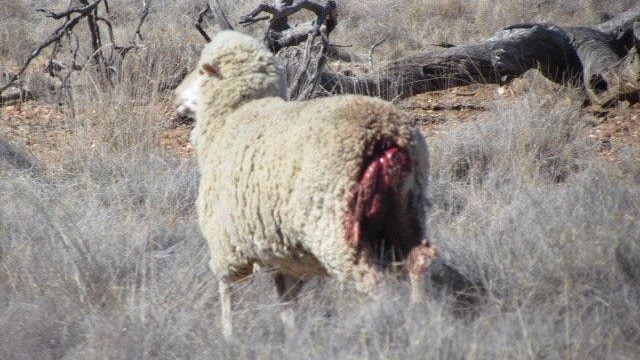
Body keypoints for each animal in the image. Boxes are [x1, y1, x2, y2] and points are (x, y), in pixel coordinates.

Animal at [189, 30, 436, 338]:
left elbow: (227, 292)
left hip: (333, 225)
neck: (235, 113)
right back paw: (417, 321)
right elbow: (287, 299)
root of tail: (386, 136)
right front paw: (292, 335)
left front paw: (228, 335)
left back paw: (378, 326)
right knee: (418, 261)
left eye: (200, 71)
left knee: (374, 282)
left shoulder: (227, 242)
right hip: (406, 212)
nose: (178, 95)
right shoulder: (285, 253)